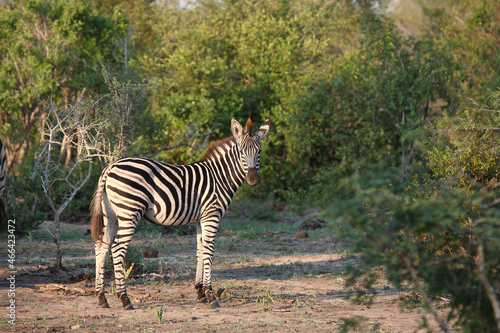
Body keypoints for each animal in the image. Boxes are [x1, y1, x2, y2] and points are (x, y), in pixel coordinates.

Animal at [90, 117, 270, 308]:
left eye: (259, 151)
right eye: (242, 152)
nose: (252, 179)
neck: (219, 177)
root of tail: (110, 167)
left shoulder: (200, 218)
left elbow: (200, 251)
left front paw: (200, 292)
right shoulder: (211, 215)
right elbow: (209, 252)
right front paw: (210, 295)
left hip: (110, 215)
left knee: (101, 247)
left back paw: (101, 297)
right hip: (129, 212)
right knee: (117, 249)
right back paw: (124, 299)